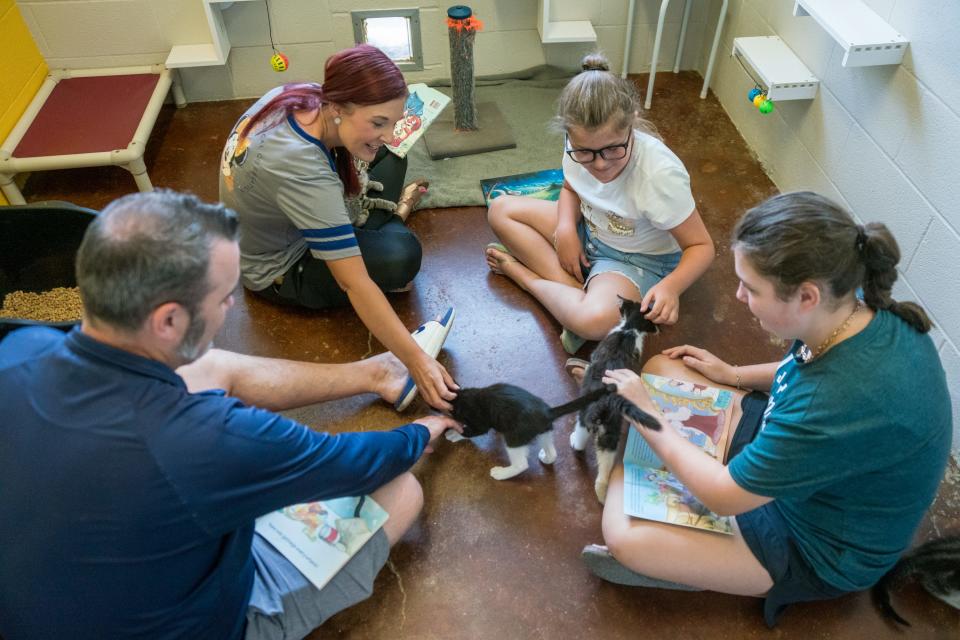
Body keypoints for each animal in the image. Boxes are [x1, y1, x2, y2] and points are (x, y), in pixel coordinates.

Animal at [448, 382, 644, 478]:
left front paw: (453, 432)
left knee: (521, 464)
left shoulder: (479, 421)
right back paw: (547, 457)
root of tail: (547, 411)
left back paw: (502, 473)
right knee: (552, 450)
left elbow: (471, 431)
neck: (467, 396)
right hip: (543, 430)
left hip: (515, 436)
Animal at [568, 298, 660, 504]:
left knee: (583, 436)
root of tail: (607, 397)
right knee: (603, 458)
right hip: (607, 430)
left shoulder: (597, 353)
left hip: (588, 414)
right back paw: (602, 493)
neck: (629, 329)